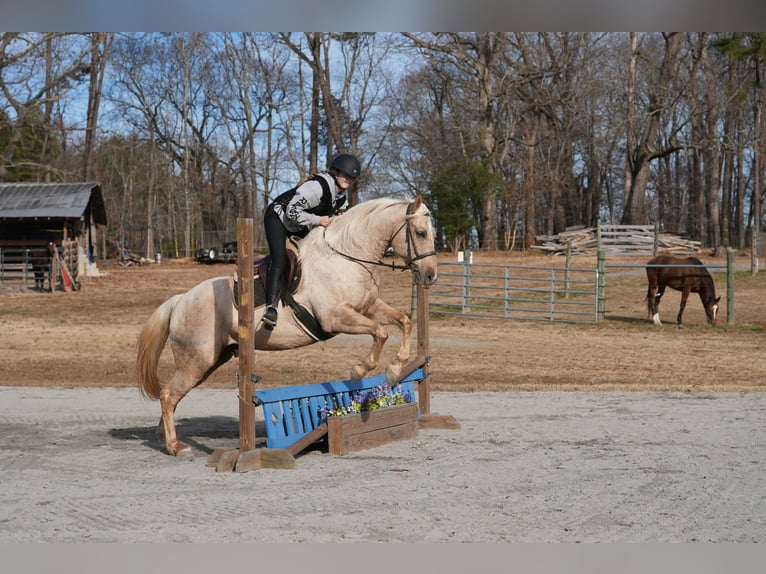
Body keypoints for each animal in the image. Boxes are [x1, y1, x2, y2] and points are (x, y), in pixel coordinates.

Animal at [136, 195, 438, 456]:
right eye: (421, 233)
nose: (430, 276)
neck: (347, 257)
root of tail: (180, 300)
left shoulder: (368, 307)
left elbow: (403, 322)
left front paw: (395, 368)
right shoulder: (336, 318)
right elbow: (381, 332)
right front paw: (360, 369)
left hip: (209, 361)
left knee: (172, 395)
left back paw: (165, 438)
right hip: (197, 360)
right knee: (168, 395)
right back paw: (176, 447)